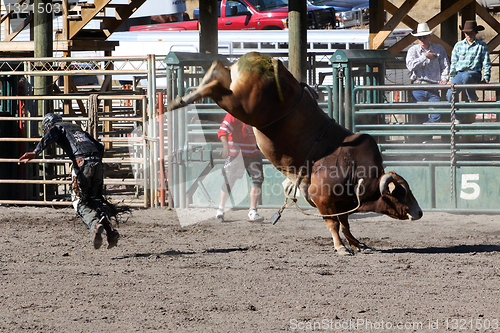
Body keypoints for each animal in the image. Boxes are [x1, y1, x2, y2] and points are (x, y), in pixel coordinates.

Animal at [169, 51, 422, 254]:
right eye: (401, 192)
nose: (419, 212)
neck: (354, 167)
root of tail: (269, 62)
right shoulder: (323, 199)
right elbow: (334, 224)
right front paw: (341, 247)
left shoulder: (342, 203)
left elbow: (346, 224)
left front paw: (356, 243)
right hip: (243, 105)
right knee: (217, 90)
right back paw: (181, 98)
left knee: (220, 76)